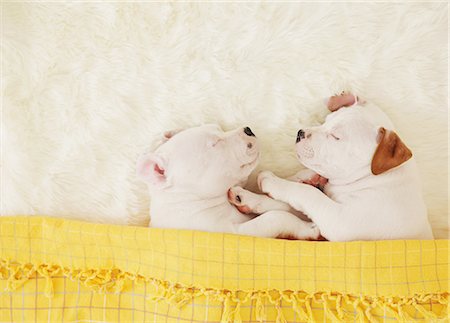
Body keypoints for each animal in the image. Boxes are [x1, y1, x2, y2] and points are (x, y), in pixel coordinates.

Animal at [137, 124, 320, 240]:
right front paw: (308, 229)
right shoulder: (235, 232)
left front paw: (306, 176)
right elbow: (275, 217)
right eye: (215, 144)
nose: (248, 129)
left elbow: (283, 202)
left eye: (219, 128)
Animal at [230, 95, 434, 242]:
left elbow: (307, 194)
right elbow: (289, 205)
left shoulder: (340, 221)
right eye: (325, 121)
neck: (376, 179)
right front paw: (249, 198)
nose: (300, 133)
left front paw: (272, 182)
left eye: (336, 137)